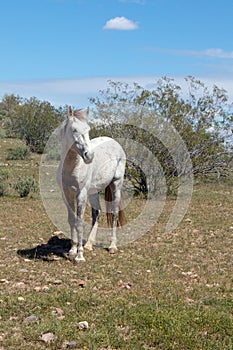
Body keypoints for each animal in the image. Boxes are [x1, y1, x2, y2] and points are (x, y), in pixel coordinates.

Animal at [57, 106, 126, 262]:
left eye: (88, 130)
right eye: (74, 130)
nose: (89, 156)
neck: (73, 167)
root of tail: (114, 142)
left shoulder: (81, 195)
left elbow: (79, 222)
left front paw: (79, 256)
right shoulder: (67, 194)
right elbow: (72, 220)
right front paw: (72, 250)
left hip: (116, 185)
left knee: (114, 213)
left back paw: (112, 246)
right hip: (94, 191)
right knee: (98, 213)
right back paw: (89, 244)